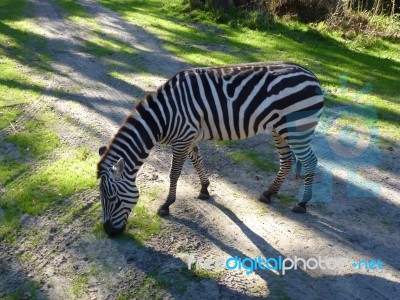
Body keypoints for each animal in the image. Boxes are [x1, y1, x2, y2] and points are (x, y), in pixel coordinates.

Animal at [97, 61, 324, 237]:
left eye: (113, 199)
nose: (109, 232)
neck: (163, 116)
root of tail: (312, 75)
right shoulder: (188, 137)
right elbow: (197, 160)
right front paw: (205, 189)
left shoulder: (182, 138)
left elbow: (174, 173)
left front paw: (166, 205)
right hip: (280, 129)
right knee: (287, 161)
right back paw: (269, 193)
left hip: (297, 129)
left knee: (310, 161)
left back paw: (302, 203)